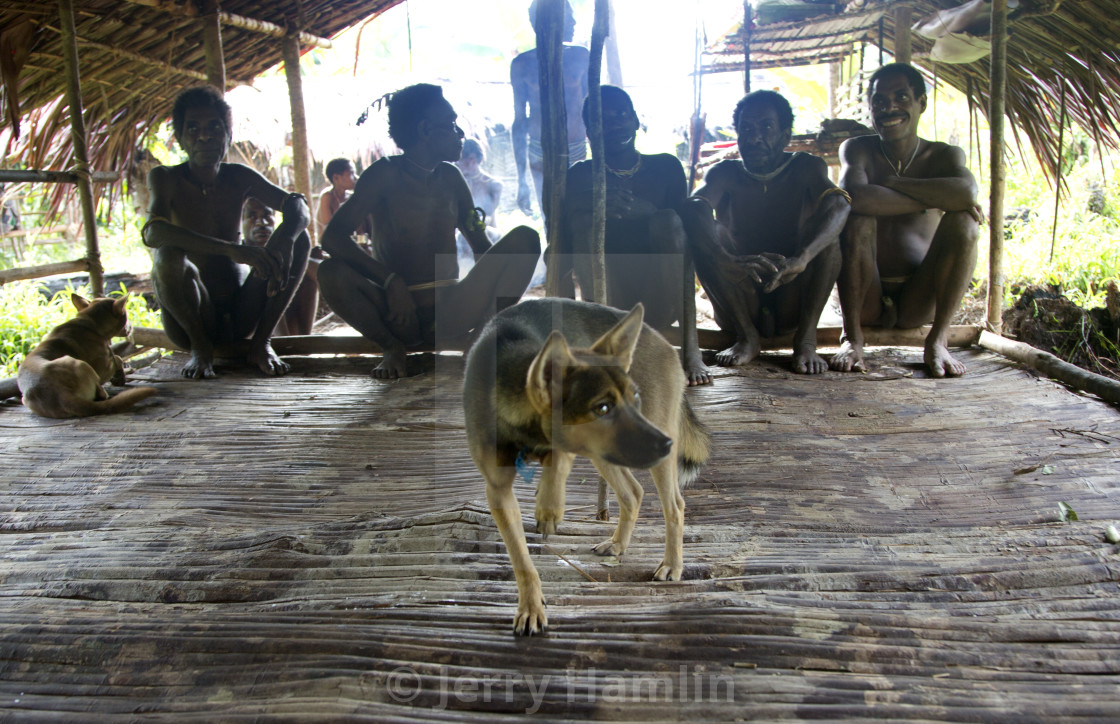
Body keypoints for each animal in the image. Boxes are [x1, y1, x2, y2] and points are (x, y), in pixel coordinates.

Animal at [18, 293, 157, 419]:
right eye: (126, 315)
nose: (132, 327)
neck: (90, 324)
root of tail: (61, 396)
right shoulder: (102, 369)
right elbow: (117, 358)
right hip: (79, 363)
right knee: (101, 393)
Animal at [461, 300, 707, 636]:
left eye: (635, 397)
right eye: (602, 408)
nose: (668, 444)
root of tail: (666, 343)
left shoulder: (569, 447)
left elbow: (557, 463)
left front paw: (548, 507)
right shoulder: (497, 492)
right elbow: (521, 558)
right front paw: (530, 608)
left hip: (632, 450)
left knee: (675, 506)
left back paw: (672, 564)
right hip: (606, 453)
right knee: (633, 492)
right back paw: (618, 543)